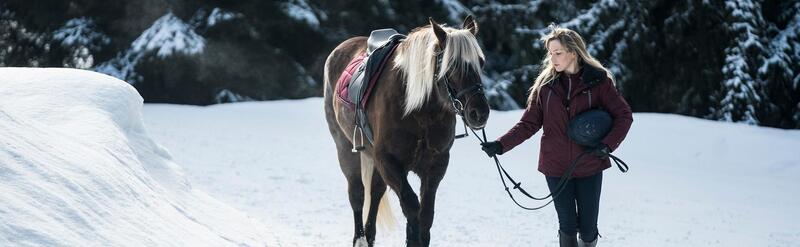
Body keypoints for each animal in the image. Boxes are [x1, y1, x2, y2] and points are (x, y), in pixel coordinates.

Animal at [324, 16, 488, 246]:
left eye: (480, 62)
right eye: (452, 65)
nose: (479, 112)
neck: (419, 111)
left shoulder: (435, 166)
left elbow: (425, 216)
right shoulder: (389, 161)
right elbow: (412, 207)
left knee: (375, 193)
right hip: (346, 148)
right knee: (358, 194)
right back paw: (361, 239)